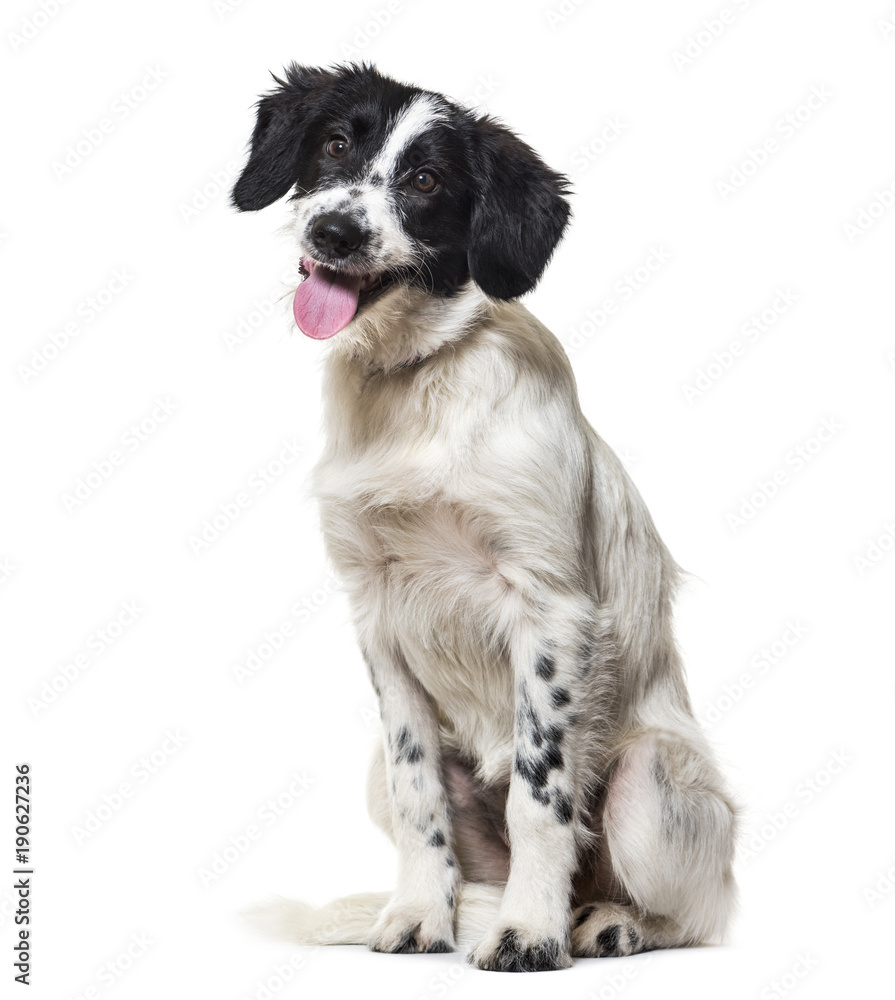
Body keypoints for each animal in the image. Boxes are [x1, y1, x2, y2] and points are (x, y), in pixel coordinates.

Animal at [234, 62, 740, 968]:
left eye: (426, 182)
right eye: (336, 145)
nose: (334, 231)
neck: (415, 383)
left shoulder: (550, 607)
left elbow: (541, 796)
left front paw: (529, 931)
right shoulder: (377, 615)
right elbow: (417, 796)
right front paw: (417, 916)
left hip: (648, 780)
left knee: (692, 913)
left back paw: (604, 924)